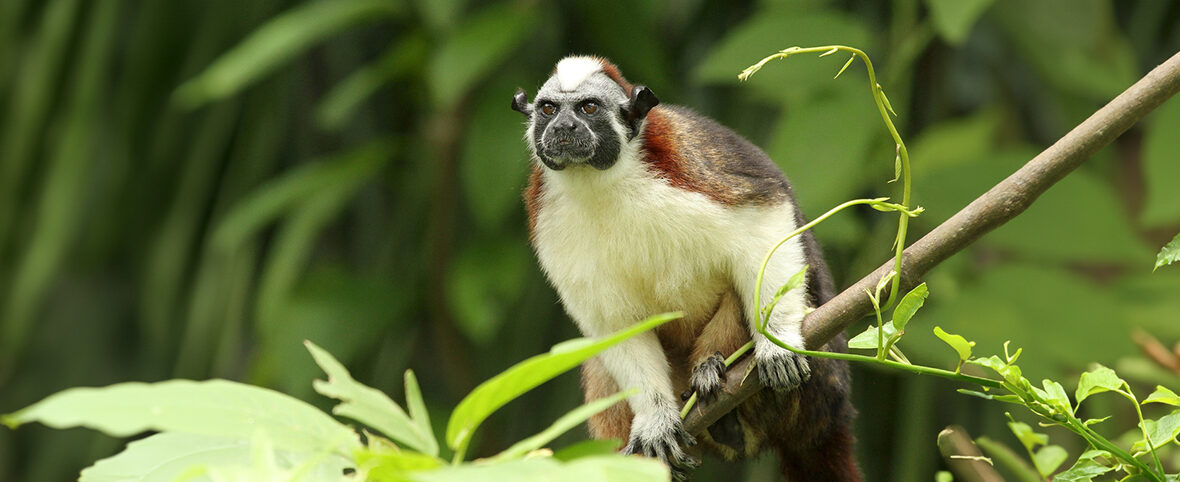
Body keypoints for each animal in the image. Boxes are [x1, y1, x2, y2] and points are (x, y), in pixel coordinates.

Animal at [512, 54, 863, 479]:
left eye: (588, 108)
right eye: (549, 110)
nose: (563, 127)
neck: (599, 179)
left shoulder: (689, 171)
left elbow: (764, 217)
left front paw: (776, 342)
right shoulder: (547, 220)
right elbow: (611, 322)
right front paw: (655, 419)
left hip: (820, 390)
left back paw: (714, 371)